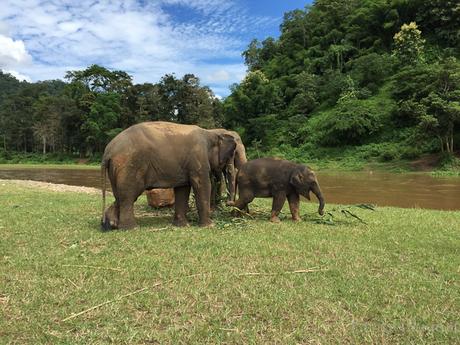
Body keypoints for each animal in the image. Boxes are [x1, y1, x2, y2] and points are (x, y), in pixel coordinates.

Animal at [101, 121, 237, 228]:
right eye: (231, 154)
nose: (229, 204)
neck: (210, 132)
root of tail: (108, 151)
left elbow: (183, 188)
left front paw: (182, 226)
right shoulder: (198, 158)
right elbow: (202, 184)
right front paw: (209, 226)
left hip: (116, 169)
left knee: (119, 196)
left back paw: (110, 225)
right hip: (130, 166)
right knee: (128, 195)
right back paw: (131, 228)